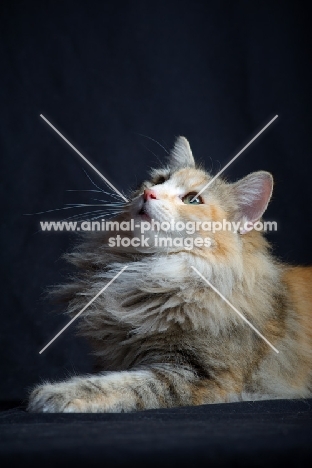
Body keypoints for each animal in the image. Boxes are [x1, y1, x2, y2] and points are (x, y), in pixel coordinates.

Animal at [27, 136, 312, 414]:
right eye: (159, 181)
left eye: (193, 200)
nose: (148, 193)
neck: (153, 270)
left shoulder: (199, 375)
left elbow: (121, 385)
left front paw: (52, 394)